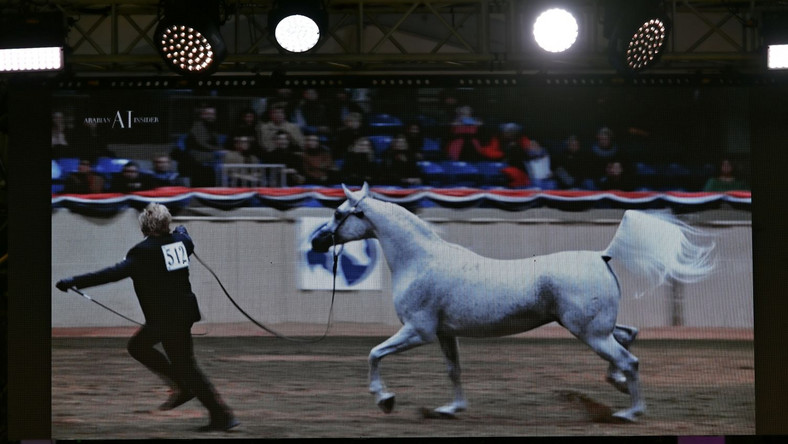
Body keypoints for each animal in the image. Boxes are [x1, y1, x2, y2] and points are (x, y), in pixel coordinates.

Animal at [310, 182, 716, 422]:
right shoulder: (443, 334)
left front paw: (385, 399)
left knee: (629, 360)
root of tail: (602, 255)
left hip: (590, 333)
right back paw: (616, 385)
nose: (316, 242)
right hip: (596, 327)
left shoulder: (417, 331)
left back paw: (631, 412)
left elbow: (374, 354)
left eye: (338, 213)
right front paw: (452, 408)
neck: (419, 260)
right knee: (630, 336)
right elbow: (453, 370)